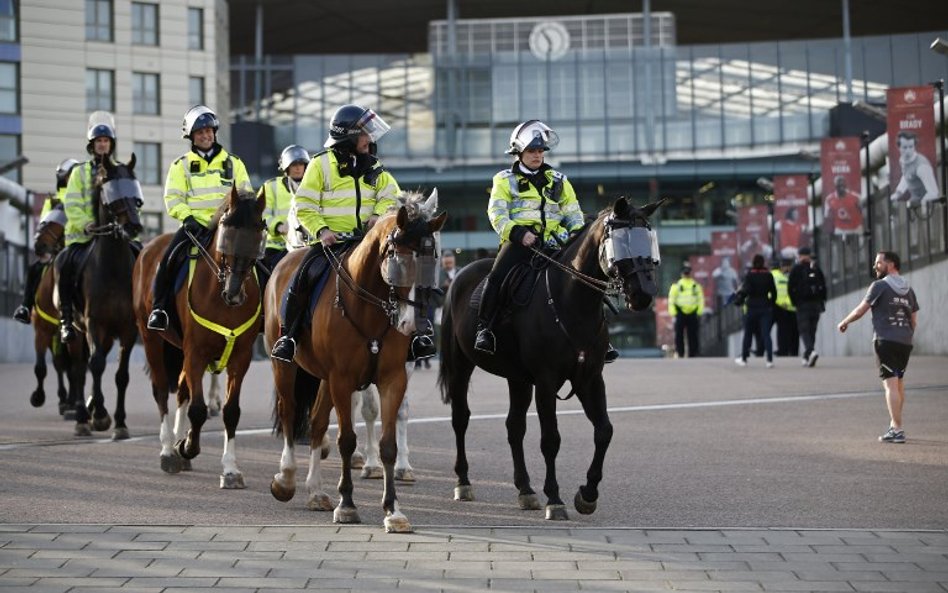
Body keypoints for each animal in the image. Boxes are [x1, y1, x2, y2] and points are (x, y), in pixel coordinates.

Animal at [131, 187, 264, 488]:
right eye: (227, 229)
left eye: (258, 231)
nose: (235, 293)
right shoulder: (196, 353)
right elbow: (198, 409)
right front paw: (187, 446)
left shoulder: (240, 357)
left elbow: (231, 411)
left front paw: (230, 469)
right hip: (151, 338)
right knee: (161, 390)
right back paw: (169, 451)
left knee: (181, 388)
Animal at [264, 191, 446, 532]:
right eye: (398, 257)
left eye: (435, 257)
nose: (413, 324)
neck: (371, 307)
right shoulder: (343, 379)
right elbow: (347, 440)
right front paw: (347, 504)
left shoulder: (392, 378)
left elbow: (388, 443)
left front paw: (393, 510)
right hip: (284, 365)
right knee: (289, 412)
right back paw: (286, 479)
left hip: (324, 378)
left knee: (317, 423)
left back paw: (316, 492)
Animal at [436, 198, 660, 520]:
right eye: (621, 241)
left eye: (648, 239)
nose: (644, 293)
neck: (571, 301)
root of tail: (461, 276)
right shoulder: (546, 381)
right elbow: (551, 439)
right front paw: (555, 499)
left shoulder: (590, 379)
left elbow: (604, 431)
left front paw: (587, 494)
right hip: (460, 366)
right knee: (461, 419)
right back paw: (463, 483)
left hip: (517, 379)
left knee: (514, 427)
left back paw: (525, 490)